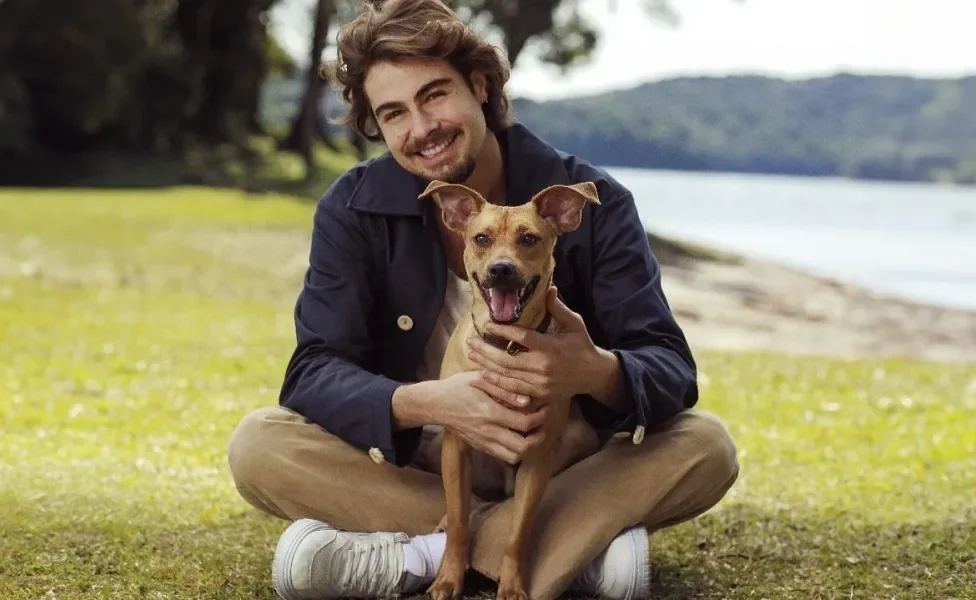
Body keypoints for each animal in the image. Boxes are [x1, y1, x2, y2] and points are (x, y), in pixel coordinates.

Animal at [420, 179, 604, 600]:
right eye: (481, 238)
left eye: (529, 238)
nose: (501, 269)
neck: (505, 346)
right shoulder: (456, 445)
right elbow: (460, 522)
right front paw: (448, 577)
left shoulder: (536, 458)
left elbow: (517, 535)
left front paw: (513, 585)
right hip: (443, 447)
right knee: (467, 504)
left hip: (576, 437)